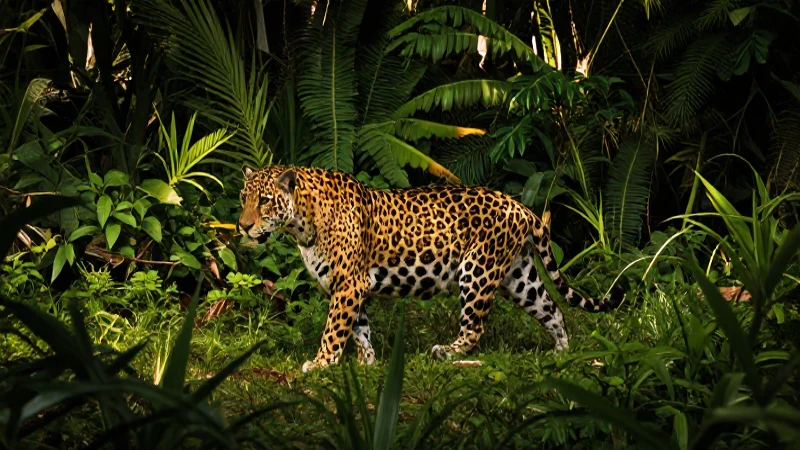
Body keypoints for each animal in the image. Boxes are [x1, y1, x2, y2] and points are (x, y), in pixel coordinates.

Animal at [238, 165, 623, 372]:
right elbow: (359, 328)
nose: (241, 226)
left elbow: (335, 328)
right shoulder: (354, 286)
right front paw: (367, 362)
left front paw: (320, 363)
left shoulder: (349, 284)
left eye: (265, 201)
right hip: (519, 276)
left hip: (477, 269)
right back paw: (562, 353)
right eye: (243, 197)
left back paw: (448, 352)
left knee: (475, 327)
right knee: (553, 308)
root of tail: (521, 206)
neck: (302, 222)